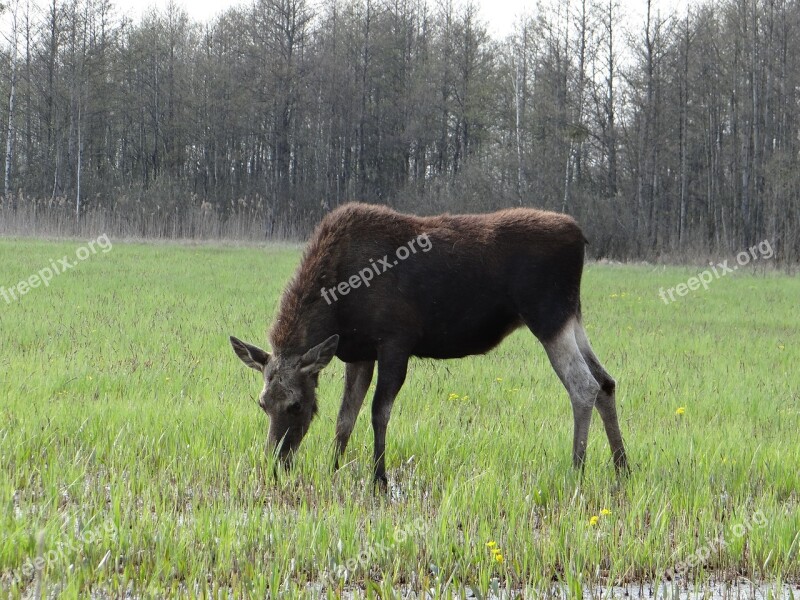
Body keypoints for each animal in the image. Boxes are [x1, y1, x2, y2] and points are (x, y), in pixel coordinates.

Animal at [228, 202, 628, 488]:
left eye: (296, 405)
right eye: (263, 403)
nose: (275, 464)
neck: (336, 303)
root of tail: (580, 238)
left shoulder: (395, 341)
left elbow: (378, 411)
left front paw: (379, 478)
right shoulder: (358, 353)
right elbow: (345, 417)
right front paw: (333, 468)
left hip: (547, 317)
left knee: (583, 385)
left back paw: (577, 470)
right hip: (571, 317)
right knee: (606, 381)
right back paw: (622, 467)